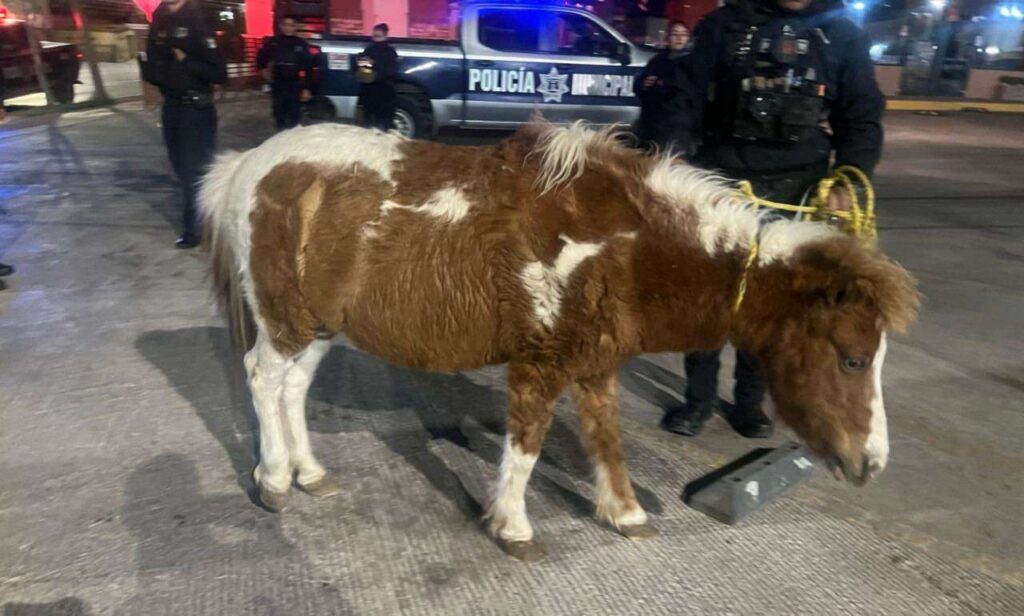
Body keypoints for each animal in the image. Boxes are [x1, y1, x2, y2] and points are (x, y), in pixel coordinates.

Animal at [199, 120, 918, 560]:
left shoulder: (596, 366)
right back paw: (274, 480)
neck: (626, 251)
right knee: (264, 380)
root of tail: (248, 164)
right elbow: (525, 449)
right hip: (284, 321)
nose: (872, 463)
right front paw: (513, 527)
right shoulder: (539, 365)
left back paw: (309, 473)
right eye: (853, 358)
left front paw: (625, 514)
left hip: (318, 325)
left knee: (294, 388)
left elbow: (606, 441)